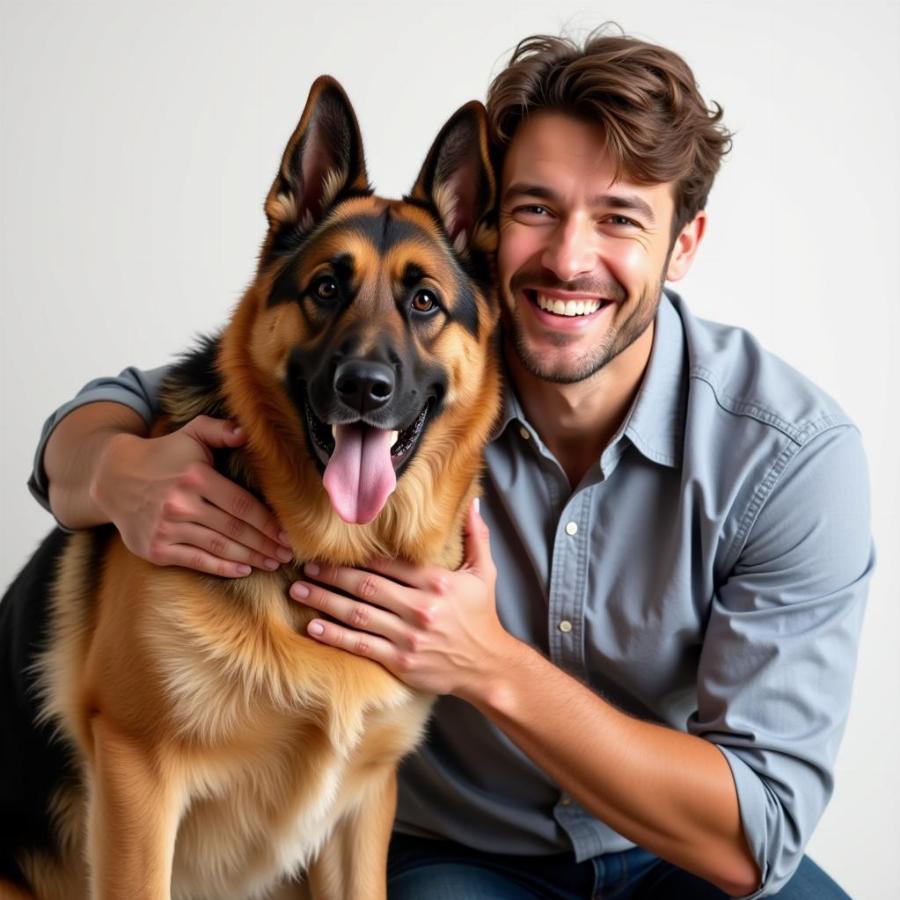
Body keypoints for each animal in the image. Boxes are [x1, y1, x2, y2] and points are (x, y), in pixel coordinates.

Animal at [0, 79, 500, 900]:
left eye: (424, 302)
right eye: (327, 287)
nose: (365, 388)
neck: (323, 551)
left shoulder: (362, 810)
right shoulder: (138, 783)